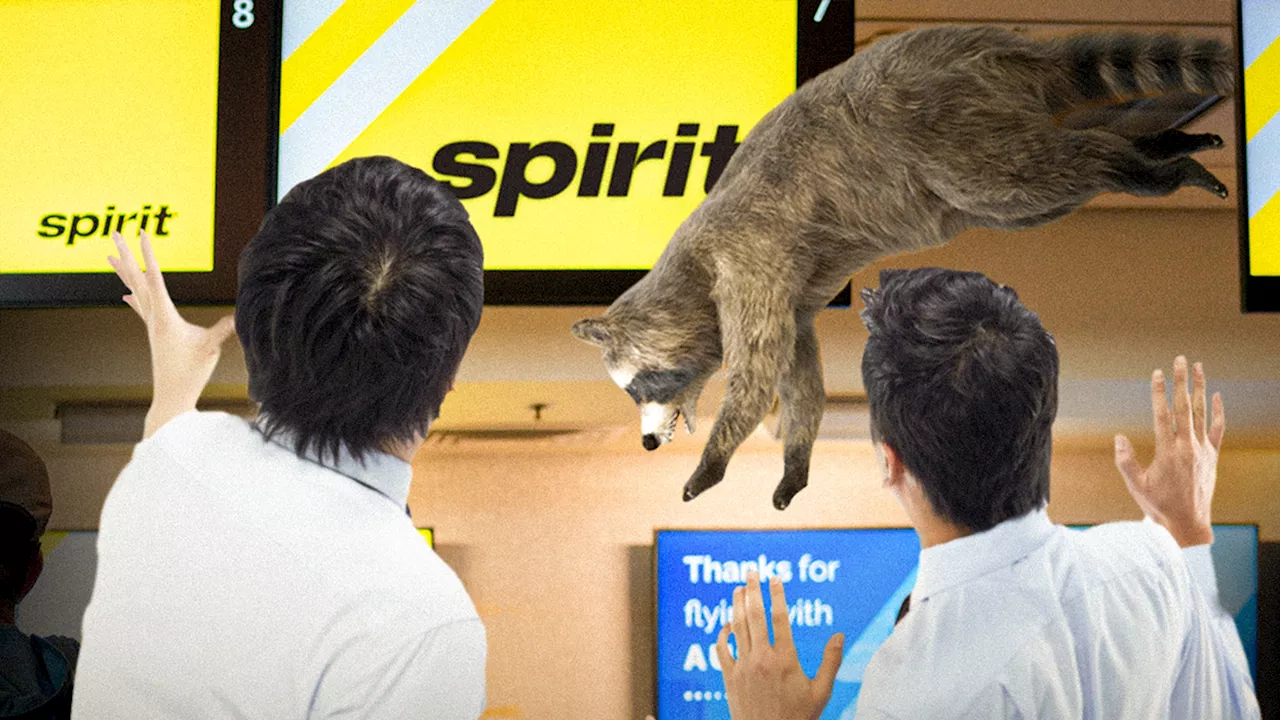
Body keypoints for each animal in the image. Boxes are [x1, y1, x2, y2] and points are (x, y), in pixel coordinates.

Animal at [570, 25, 1228, 507]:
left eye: (637, 388)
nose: (648, 442)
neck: (689, 278)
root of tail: (985, 42)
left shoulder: (747, 262)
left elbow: (757, 372)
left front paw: (714, 457)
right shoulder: (791, 297)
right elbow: (797, 372)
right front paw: (796, 458)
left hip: (941, 122)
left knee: (1027, 177)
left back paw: (1138, 168)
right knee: (1038, 189)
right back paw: (1150, 145)